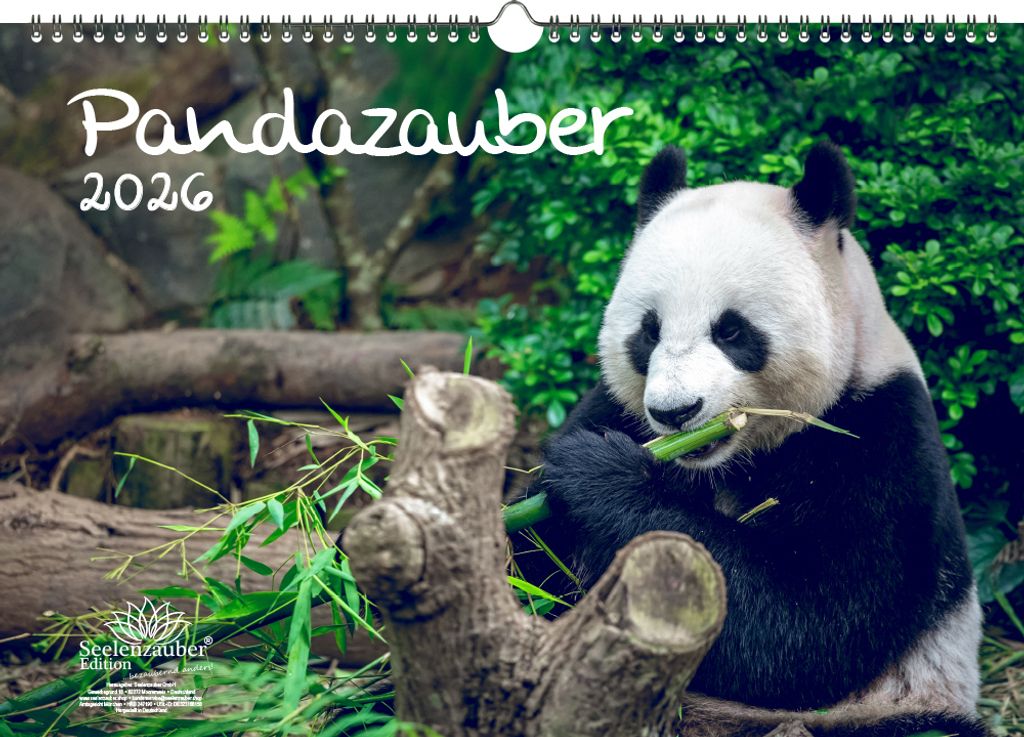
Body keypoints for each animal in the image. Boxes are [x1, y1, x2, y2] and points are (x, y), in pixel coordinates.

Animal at [523, 142, 984, 737]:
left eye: (731, 330)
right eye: (649, 331)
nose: (675, 413)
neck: (730, 460)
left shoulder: (881, 440)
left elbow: (807, 625)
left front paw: (600, 475)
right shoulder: (615, 406)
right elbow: (533, 561)